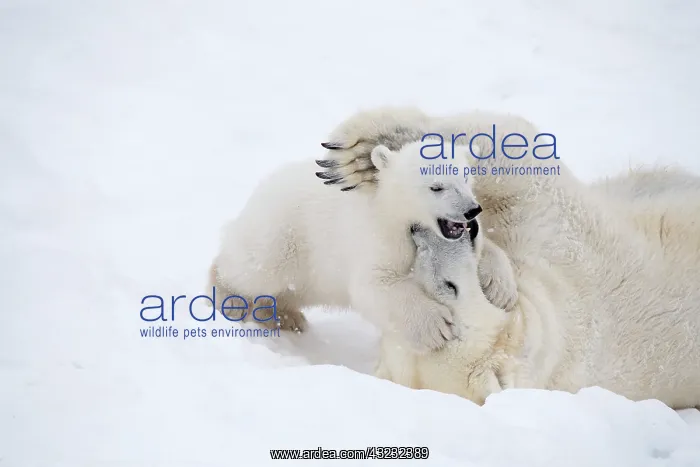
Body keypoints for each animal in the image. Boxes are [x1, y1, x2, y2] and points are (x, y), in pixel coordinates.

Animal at [208, 139, 518, 353]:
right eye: (437, 186)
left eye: (465, 176)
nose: (472, 210)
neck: (396, 213)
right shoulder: (377, 237)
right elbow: (375, 284)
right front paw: (436, 327)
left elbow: (484, 247)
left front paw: (501, 289)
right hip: (284, 233)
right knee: (255, 268)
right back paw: (231, 300)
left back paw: (285, 317)